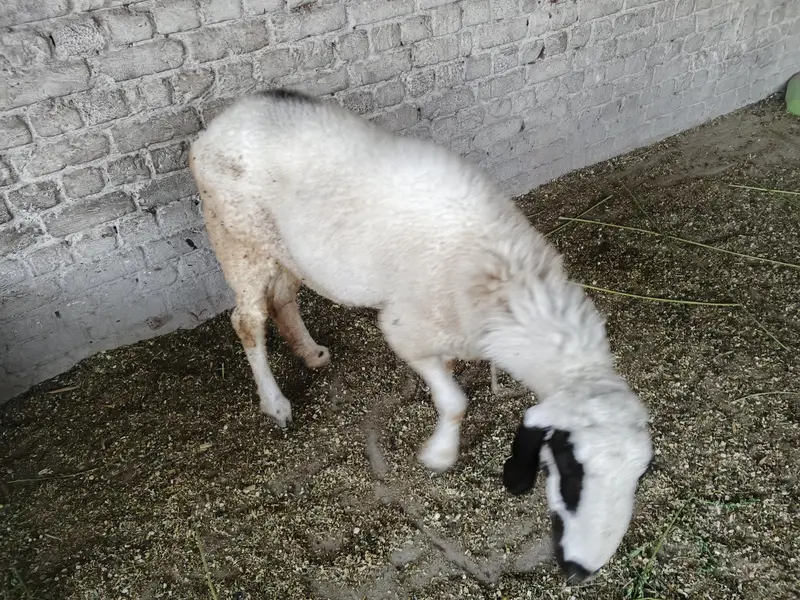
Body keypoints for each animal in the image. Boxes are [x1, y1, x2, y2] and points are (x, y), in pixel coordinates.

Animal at [188, 89, 653, 582]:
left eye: (642, 475)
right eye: (570, 470)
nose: (581, 570)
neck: (503, 279)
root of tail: (219, 125)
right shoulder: (404, 330)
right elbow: (453, 401)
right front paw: (440, 456)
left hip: (286, 246)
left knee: (282, 296)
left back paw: (311, 353)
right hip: (237, 240)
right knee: (247, 319)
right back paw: (275, 403)